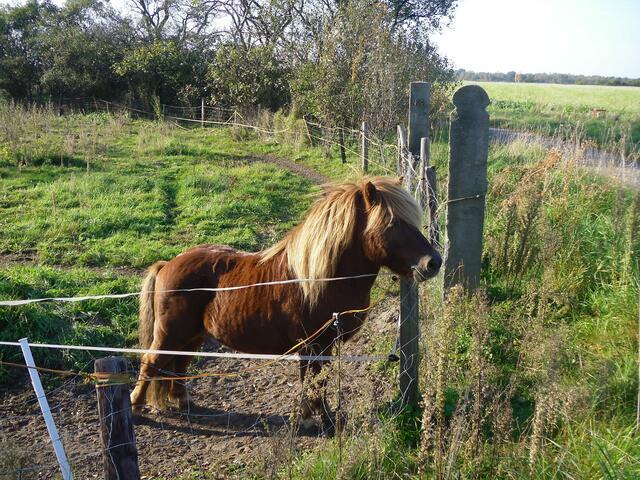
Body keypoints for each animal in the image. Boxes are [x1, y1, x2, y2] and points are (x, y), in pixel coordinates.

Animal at [130, 176, 442, 428]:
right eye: (392, 224)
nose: (433, 263)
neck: (319, 279)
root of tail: (168, 263)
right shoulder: (313, 346)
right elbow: (315, 383)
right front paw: (322, 421)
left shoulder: (322, 347)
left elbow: (314, 382)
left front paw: (311, 417)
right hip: (170, 333)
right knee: (151, 363)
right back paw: (135, 408)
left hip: (192, 335)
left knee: (179, 364)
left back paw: (183, 402)